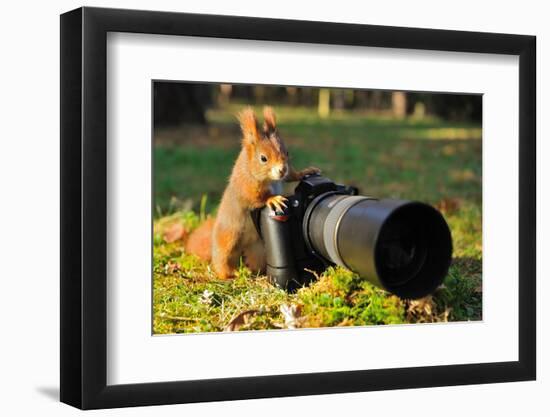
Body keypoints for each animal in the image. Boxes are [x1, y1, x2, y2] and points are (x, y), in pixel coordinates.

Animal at [187, 105, 320, 278]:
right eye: (263, 158)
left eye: (287, 152)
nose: (282, 170)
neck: (269, 179)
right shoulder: (246, 184)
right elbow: (254, 197)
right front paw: (272, 199)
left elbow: (291, 176)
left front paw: (305, 172)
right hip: (228, 237)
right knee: (221, 259)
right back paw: (229, 274)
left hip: (258, 248)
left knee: (255, 261)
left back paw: (256, 272)